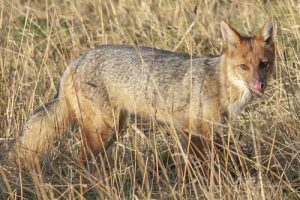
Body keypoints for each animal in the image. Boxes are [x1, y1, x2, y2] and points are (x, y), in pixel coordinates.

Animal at [1, 19, 276, 168]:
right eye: (244, 67)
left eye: (264, 64)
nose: (259, 86)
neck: (218, 84)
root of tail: (74, 62)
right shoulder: (195, 132)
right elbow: (207, 167)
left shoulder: (203, 133)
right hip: (103, 130)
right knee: (81, 163)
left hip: (113, 130)